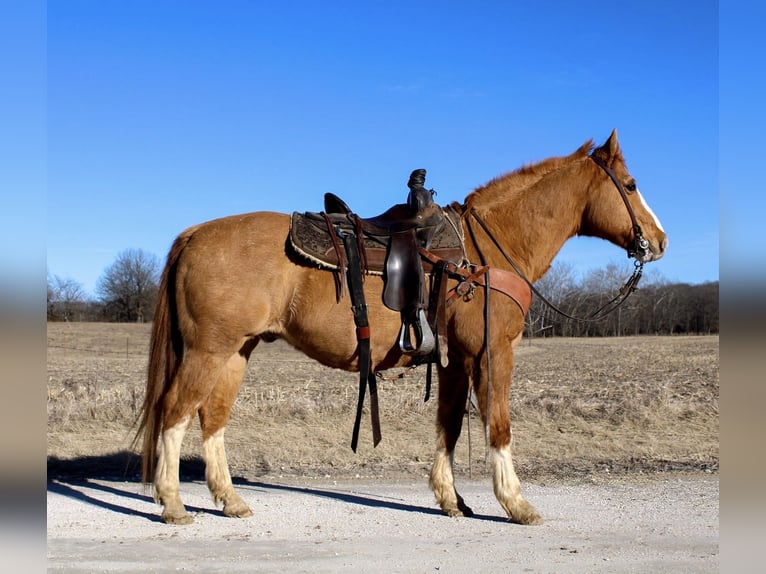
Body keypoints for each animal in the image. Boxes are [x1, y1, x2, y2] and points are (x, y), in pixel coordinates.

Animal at [134, 129, 667, 525]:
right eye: (631, 184)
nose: (659, 240)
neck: (487, 250)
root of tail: (194, 234)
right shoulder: (493, 353)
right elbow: (498, 426)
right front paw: (516, 503)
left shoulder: (455, 362)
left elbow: (448, 425)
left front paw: (451, 499)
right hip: (208, 352)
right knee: (175, 412)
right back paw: (173, 503)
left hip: (235, 353)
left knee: (211, 420)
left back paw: (230, 501)